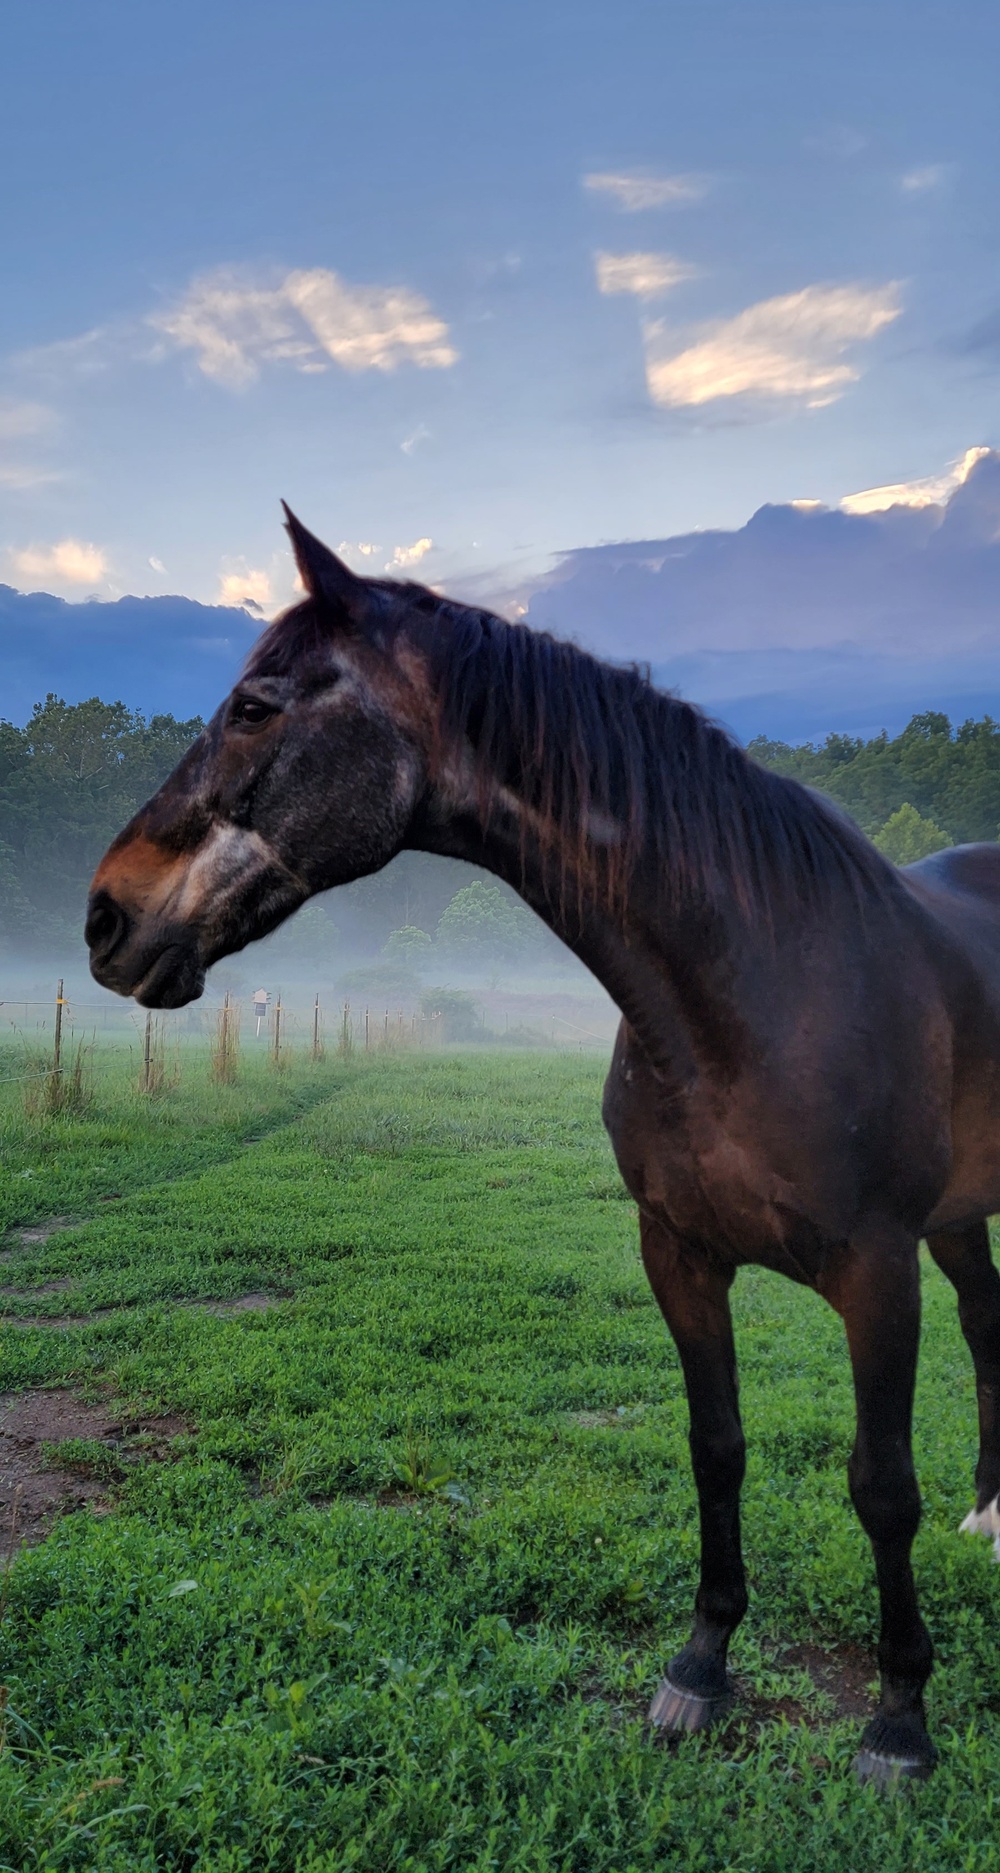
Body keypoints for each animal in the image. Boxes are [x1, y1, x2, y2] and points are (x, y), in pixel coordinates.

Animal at [84, 513, 1000, 1783]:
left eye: (256, 706)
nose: (104, 918)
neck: (758, 987)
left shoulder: (876, 1269)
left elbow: (880, 1486)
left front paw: (900, 1718)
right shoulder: (678, 1252)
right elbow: (715, 1445)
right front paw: (699, 1666)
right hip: (960, 1220)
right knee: (994, 1327)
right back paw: (989, 1513)